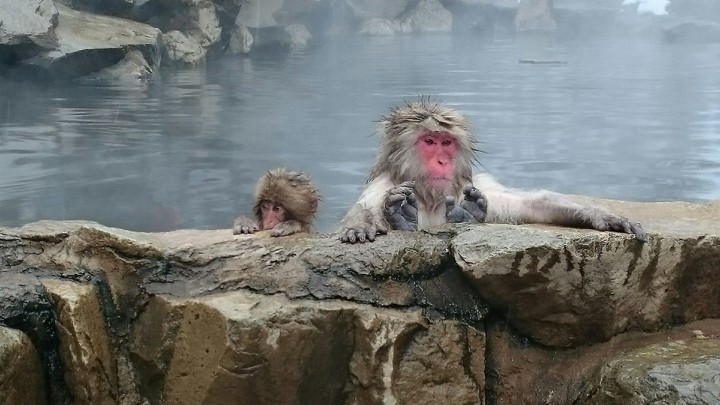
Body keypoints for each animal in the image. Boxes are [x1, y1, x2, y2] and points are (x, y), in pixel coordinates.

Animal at [339, 98, 647, 244]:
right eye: (429, 142)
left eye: (446, 143)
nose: (443, 161)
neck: (430, 198)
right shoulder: (380, 187)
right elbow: (363, 209)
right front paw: (360, 224)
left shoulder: (474, 185)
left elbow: (530, 205)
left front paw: (605, 216)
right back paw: (402, 217)